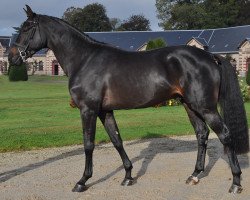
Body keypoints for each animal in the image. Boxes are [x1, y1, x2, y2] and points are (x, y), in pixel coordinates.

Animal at [8, 5, 249, 194]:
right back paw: (195, 175)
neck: (85, 60)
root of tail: (209, 56)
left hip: (205, 107)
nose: (12, 57)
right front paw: (128, 176)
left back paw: (236, 182)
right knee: (202, 134)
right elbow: (117, 140)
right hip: (190, 105)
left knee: (224, 135)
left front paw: (82, 181)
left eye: (27, 28)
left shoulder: (88, 109)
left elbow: (88, 144)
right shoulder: (104, 110)